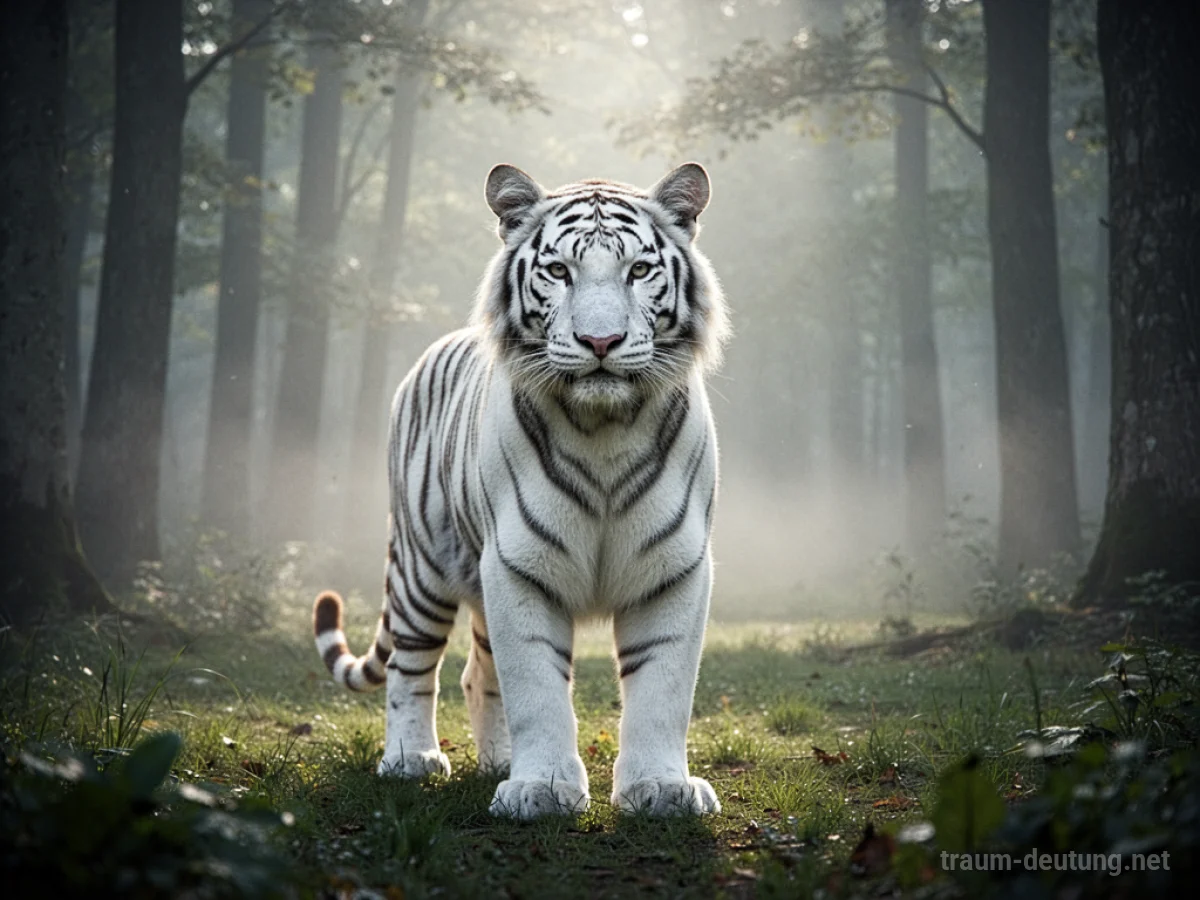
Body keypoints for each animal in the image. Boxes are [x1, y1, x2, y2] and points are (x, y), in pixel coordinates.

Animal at [313, 162, 730, 820]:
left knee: (476, 674)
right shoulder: (518, 566)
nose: (601, 342)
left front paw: (660, 790)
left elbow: (662, 689)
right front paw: (545, 789)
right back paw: (410, 760)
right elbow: (536, 687)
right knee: (412, 668)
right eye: (559, 272)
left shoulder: (674, 568)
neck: (604, 431)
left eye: (639, 270)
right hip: (421, 569)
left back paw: (497, 762)